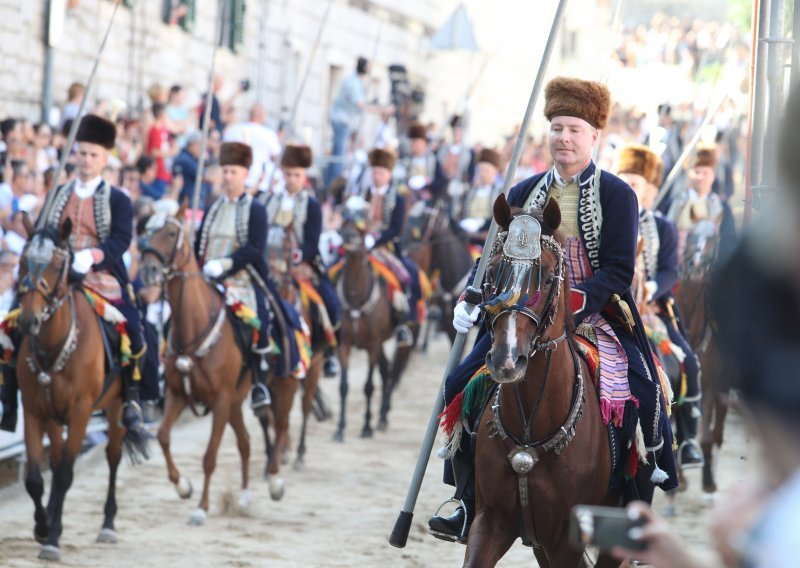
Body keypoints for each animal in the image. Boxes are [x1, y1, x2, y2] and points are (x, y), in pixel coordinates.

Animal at [14, 220, 149, 560]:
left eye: (56, 265)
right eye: (22, 262)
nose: (28, 321)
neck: (55, 346)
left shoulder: (80, 413)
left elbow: (64, 474)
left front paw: (52, 540)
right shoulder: (36, 411)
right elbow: (35, 478)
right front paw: (43, 526)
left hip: (115, 410)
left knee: (112, 458)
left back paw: (108, 525)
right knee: (57, 458)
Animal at [138, 207, 296, 524]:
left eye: (171, 233)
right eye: (146, 231)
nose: (148, 272)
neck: (195, 325)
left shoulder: (220, 400)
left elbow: (209, 457)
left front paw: (201, 507)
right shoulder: (178, 394)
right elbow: (162, 437)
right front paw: (184, 487)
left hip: (281, 388)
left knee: (282, 427)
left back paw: (274, 481)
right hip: (236, 402)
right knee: (246, 442)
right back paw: (245, 497)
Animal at [466, 196, 620, 568]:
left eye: (549, 277)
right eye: (492, 272)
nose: (507, 360)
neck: (529, 433)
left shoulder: (566, 540)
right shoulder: (490, 520)